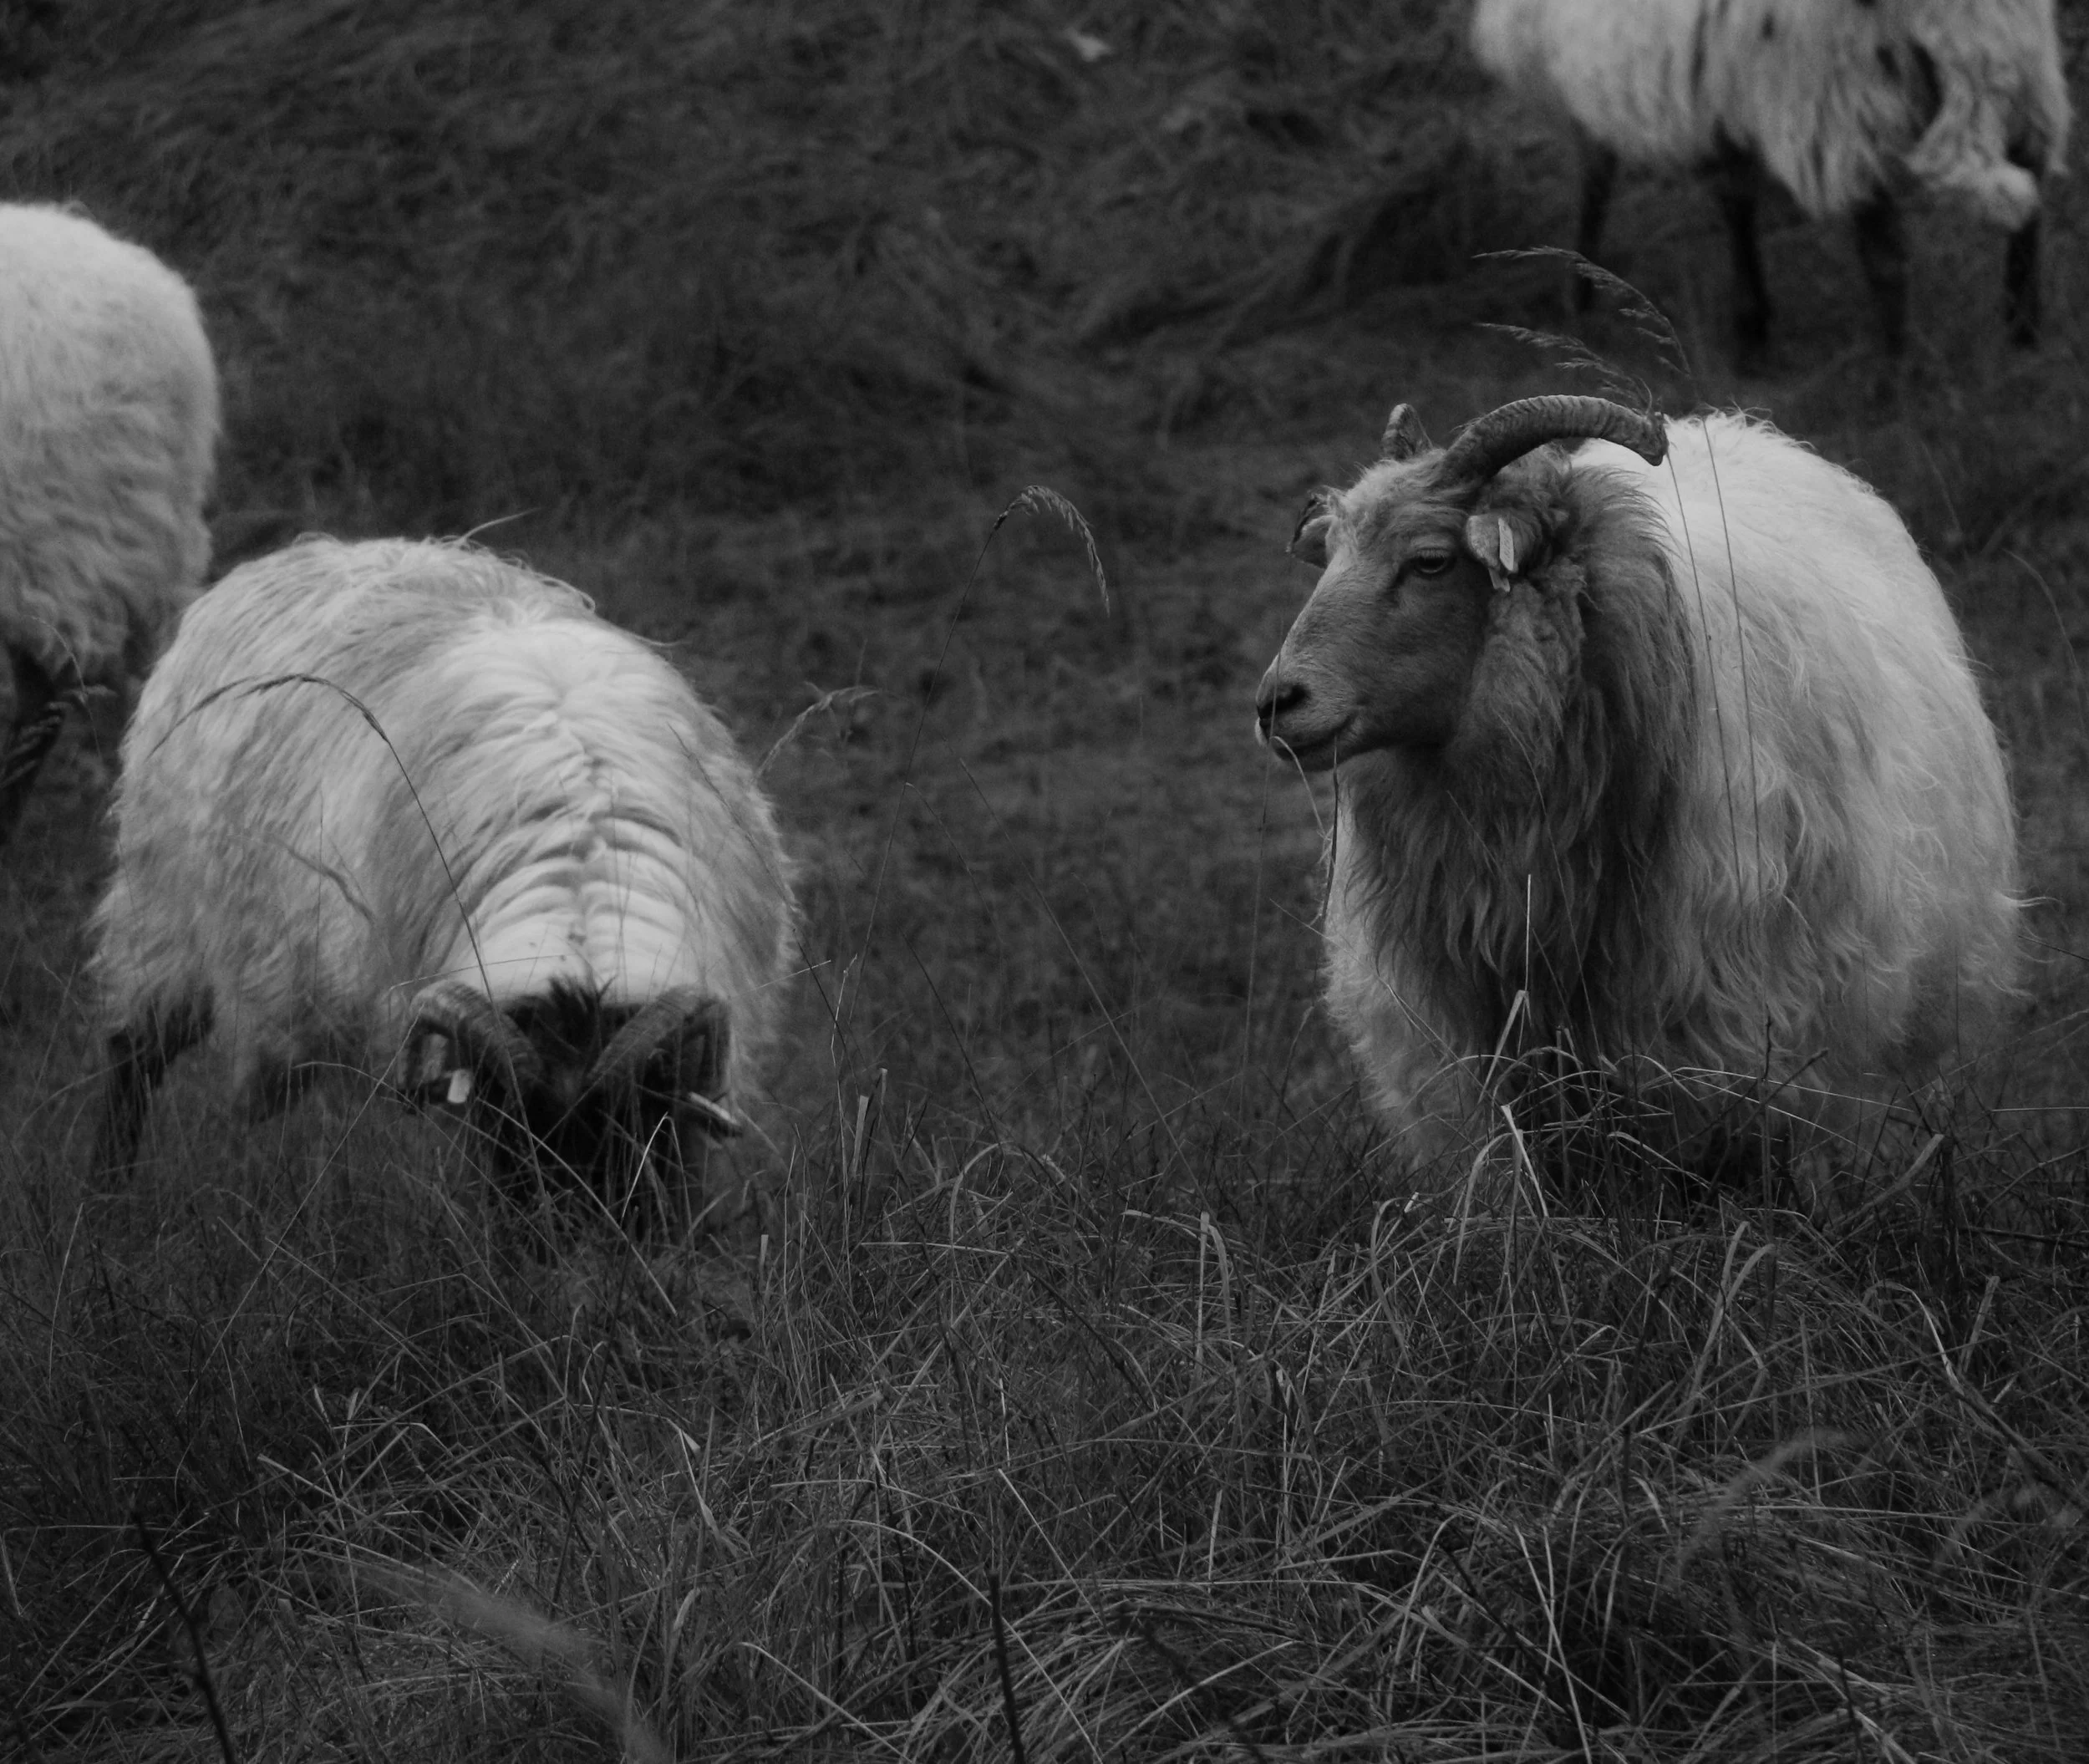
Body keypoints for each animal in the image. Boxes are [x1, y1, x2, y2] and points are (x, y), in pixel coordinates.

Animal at [90, 537, 797, 1232]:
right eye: (507, 1124)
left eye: (629, 1123)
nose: (567, 1246)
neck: (581, 891)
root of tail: (289, 557)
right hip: (162, 910)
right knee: (133, 1053)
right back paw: (109, 1200)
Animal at [1469, 0, 2072, 362]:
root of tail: (1957, 18)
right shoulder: (1717, 97)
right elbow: (1735, 203)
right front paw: (1752, 321)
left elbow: (1600, 182)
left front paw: (1580, 287)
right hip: (2025, 71)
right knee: (2031, 205)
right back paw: (2023, 331)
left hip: (1842, 98)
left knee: (1885, 256)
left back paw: (1893, 381)